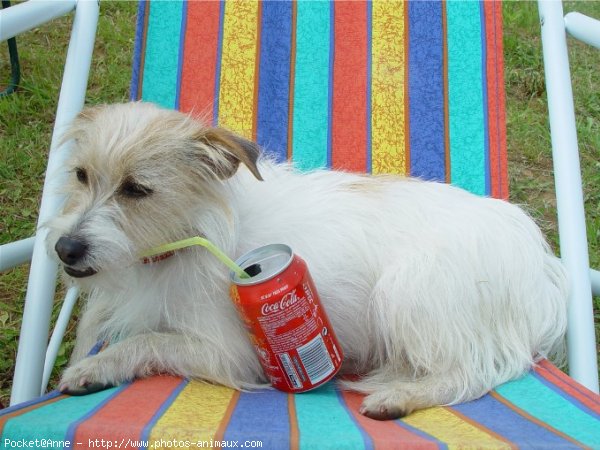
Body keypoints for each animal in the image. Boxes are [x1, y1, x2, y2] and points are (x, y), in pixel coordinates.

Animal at [45, 101, 568, 418]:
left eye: (137, 190)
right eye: (81, 175)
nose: (64, 248)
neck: (192, 233)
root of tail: (541, 267)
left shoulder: (229, 354)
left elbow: (148, 342)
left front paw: (95, 368)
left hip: (408, 291)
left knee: (472, 373)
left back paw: (399, 395)